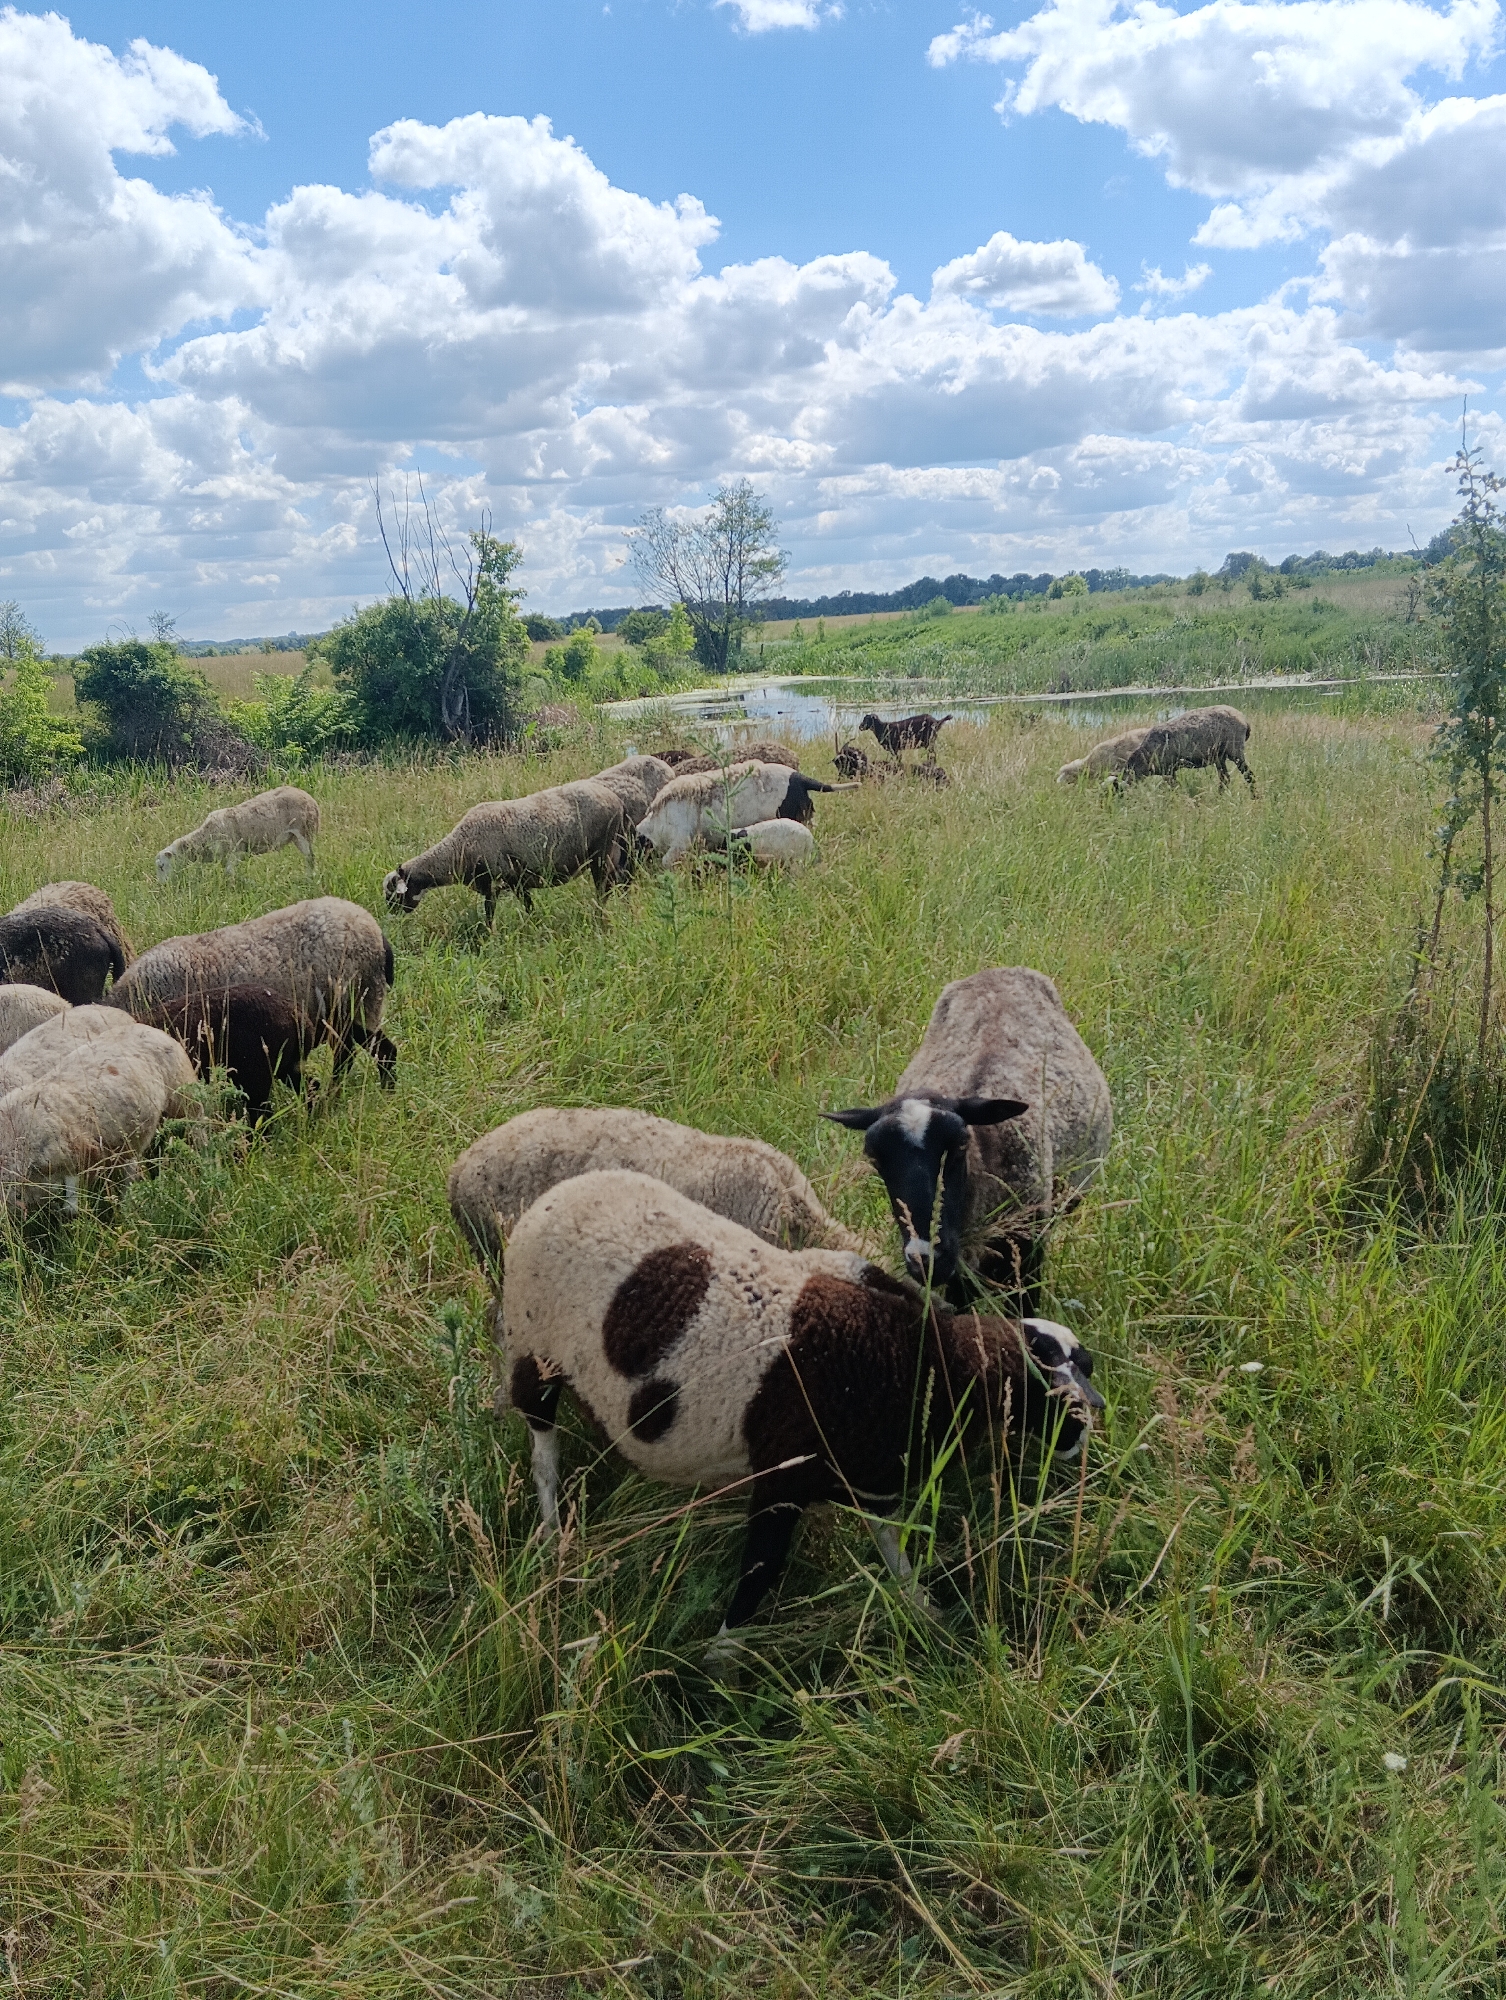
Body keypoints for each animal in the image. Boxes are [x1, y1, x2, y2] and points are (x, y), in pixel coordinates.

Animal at [155, 785, 320, 882]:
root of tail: (309, 797)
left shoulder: (235, 852)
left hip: (303, 831)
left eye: (162, 866)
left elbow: (229, 874)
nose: (163, 886)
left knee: (310, 857)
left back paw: (309, 877)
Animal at [383, 778, 632, 925]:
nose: (391, 915)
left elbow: (496, 913)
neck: (457, 849)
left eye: (394, 894)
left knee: (604, 887)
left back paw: (601, 916)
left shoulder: (506, 880)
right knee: (620, 879)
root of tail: (616, 801)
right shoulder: (502, 885)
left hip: (602, 850)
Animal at [501, 1169, 1103, 1659]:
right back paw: (552, 1535)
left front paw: (925, 1611)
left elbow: (892, 1546)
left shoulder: (869, 1473)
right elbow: (761, 1570)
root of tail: (557, 1193)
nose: (1090, 1425)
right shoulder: (784, 1473)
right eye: (1043, 1385)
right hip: (533, 1352)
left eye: (1086, 1365)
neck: (920, 1362)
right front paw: (721, 1657)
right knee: (543, 1449)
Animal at [1119, 706, 1255, 791]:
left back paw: (1254, 797)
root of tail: (1244, 721)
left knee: (1249, 776)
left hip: (1234, 750)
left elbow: (1174, 788)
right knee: (1225, 779)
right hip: (1219, 756)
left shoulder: (1168, 770)